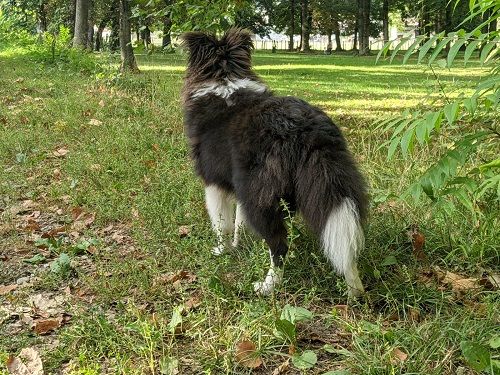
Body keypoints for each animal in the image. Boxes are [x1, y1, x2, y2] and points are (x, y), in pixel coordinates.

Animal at [180, 27, 368, 298]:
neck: (224, 79)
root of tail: (306, 128)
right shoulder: (240, 188)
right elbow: (239, 224)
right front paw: (239, 244)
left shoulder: (214, 183)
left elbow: (222, 225)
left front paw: (223, 250)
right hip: (329, 184)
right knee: (346, 243)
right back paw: (354, 289)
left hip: (260, 195)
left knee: (279, 246)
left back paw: (267, 286)